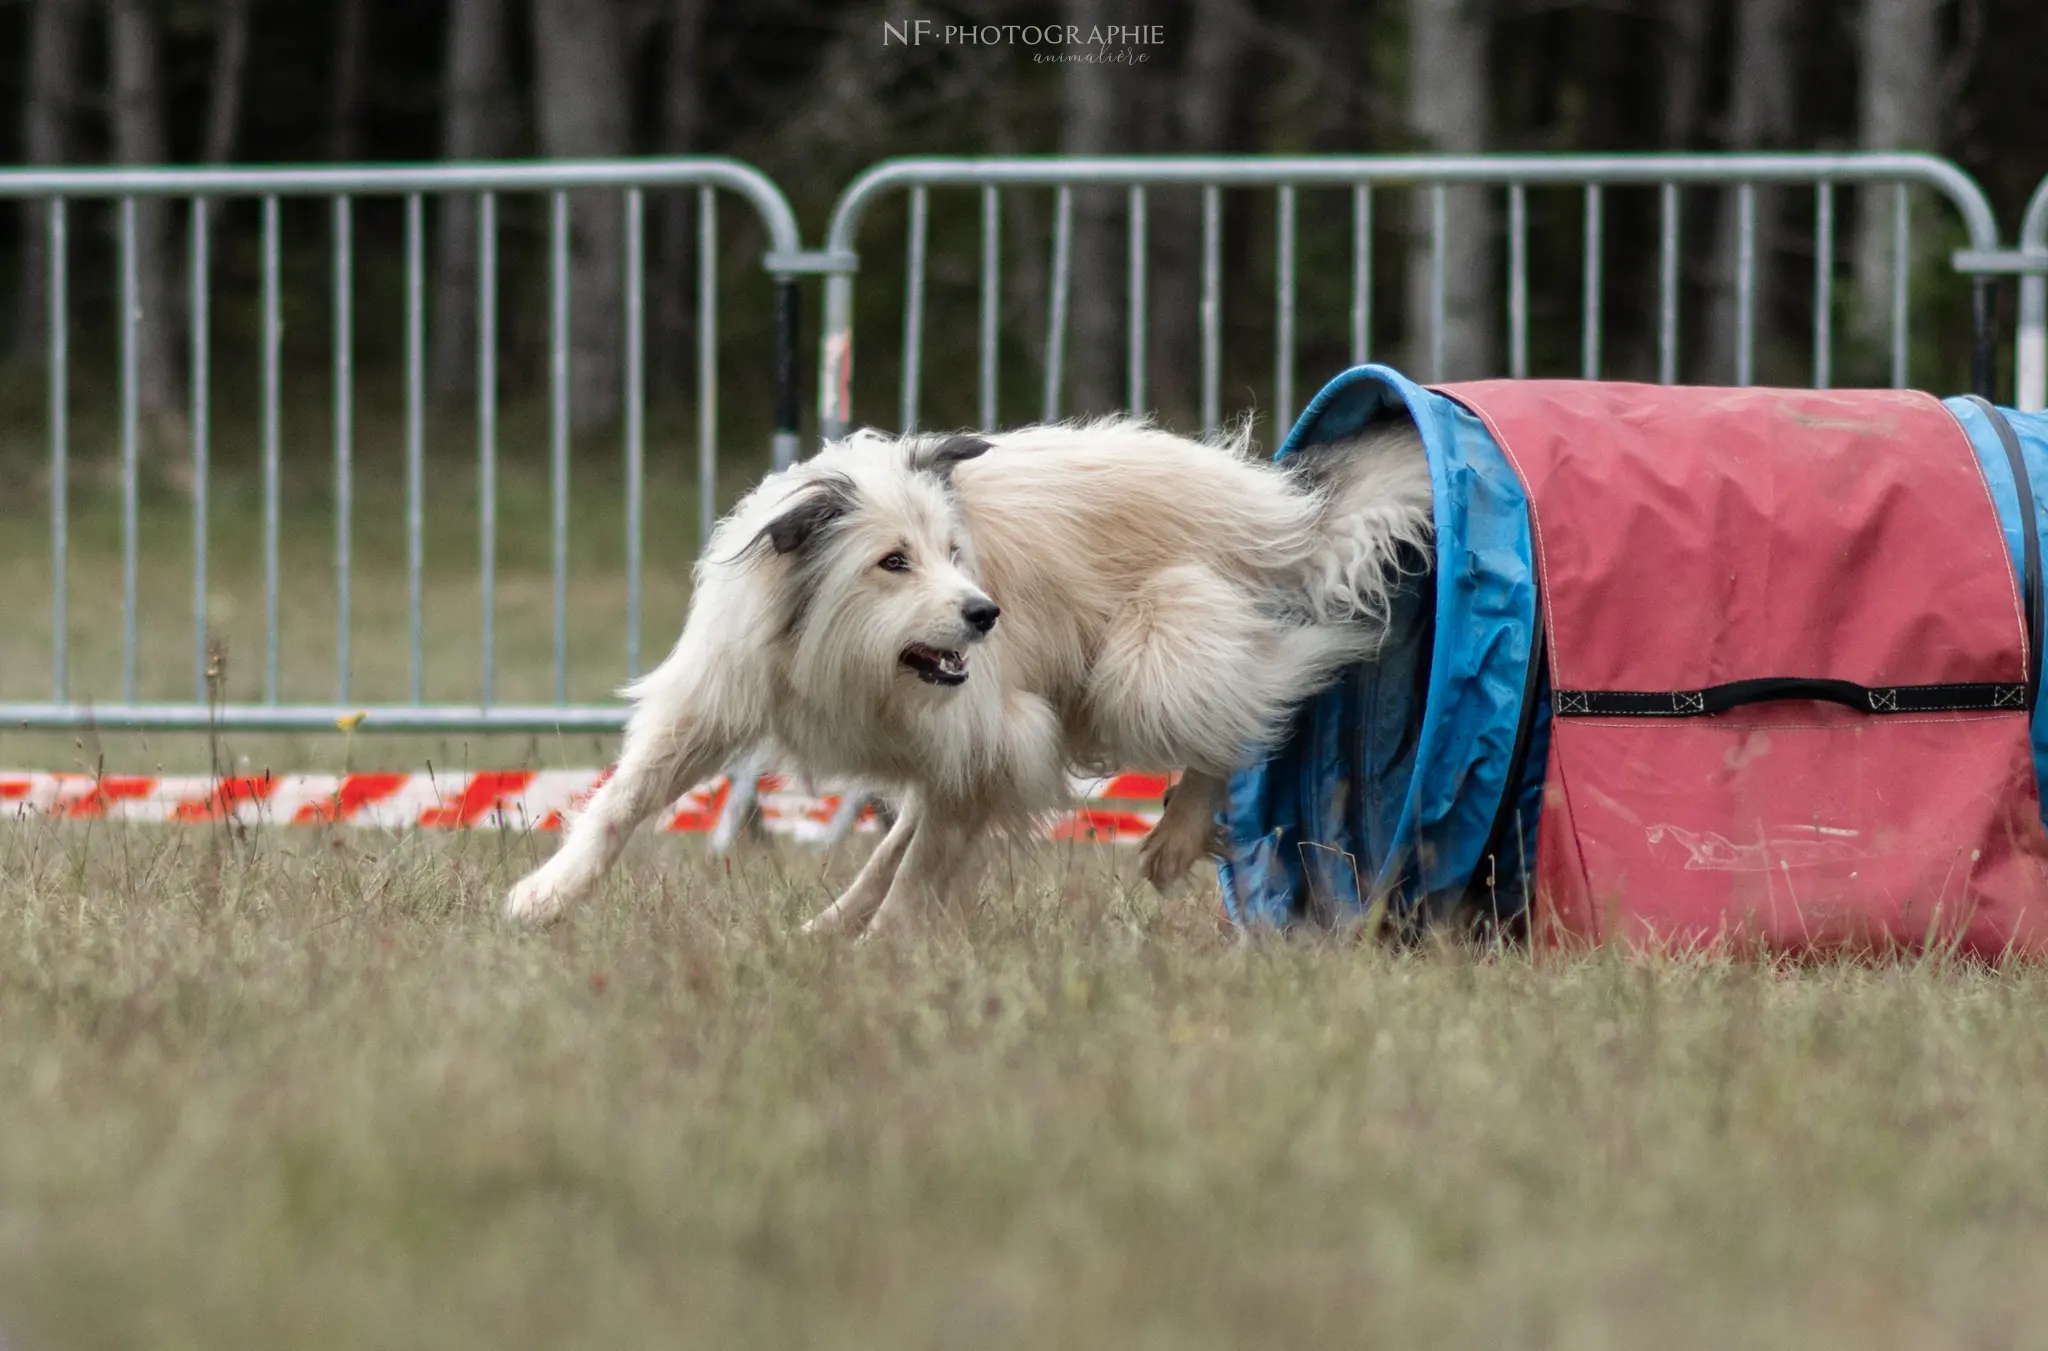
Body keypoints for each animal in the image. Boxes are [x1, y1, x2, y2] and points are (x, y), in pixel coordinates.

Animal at [503, 417, 1433, 933]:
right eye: (893, 561)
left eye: (954, 552)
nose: (986, 614)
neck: (852, 649)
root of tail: (1280, 511)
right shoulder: (719, 695)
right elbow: (622, 801)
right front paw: (545, 896)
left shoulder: (986, 739)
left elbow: (921, 871)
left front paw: (884, 954)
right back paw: (824, 924)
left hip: (1151, 653)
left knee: (1257, 703)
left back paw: (1175, 834)